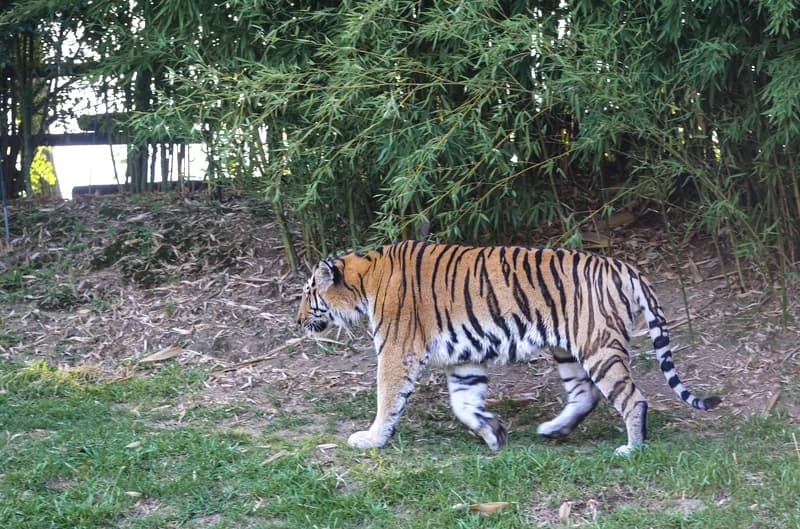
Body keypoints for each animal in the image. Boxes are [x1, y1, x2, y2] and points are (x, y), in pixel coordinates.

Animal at [296, 240, 720, 455]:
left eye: (307, 293)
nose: (296, 321)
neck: (364, 280)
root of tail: (625, 267)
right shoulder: (463, 359)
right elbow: (464, 403)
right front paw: (492, 432)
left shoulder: (397, 351)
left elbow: (387, 398)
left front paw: (371, 439)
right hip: (568, 349)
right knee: (585, 395)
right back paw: (553, 429)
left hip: (599, 346)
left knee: (633, 398)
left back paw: (631, 449)